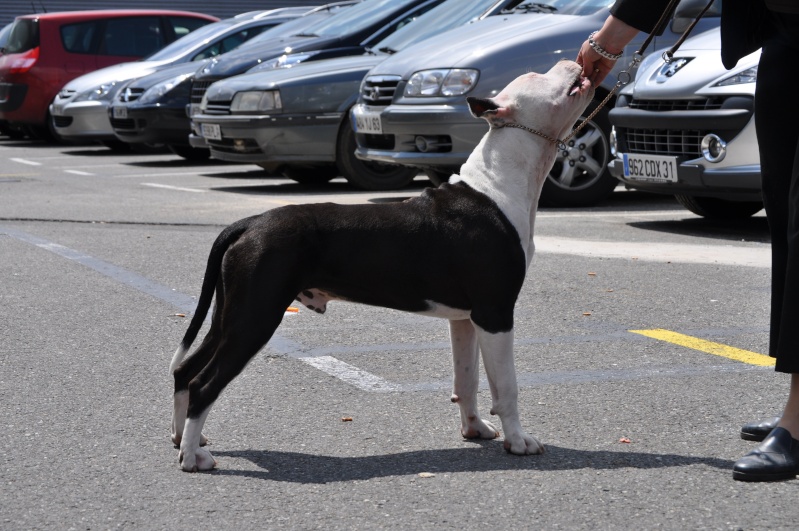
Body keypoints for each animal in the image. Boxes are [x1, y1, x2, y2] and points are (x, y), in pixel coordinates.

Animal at [170, 60, 592, 472]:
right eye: (539, 75)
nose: (573, 59)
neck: (499, 182)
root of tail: (250, 223)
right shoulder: (496, 313)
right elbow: (507, 386)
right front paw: (519, 441)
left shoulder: (466, 319)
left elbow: (467, 379)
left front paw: (474, 429)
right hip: (255, 316)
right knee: (204, 383)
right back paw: (192, 457)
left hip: (231, 311)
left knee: (185, 370)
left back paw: (182, 439)